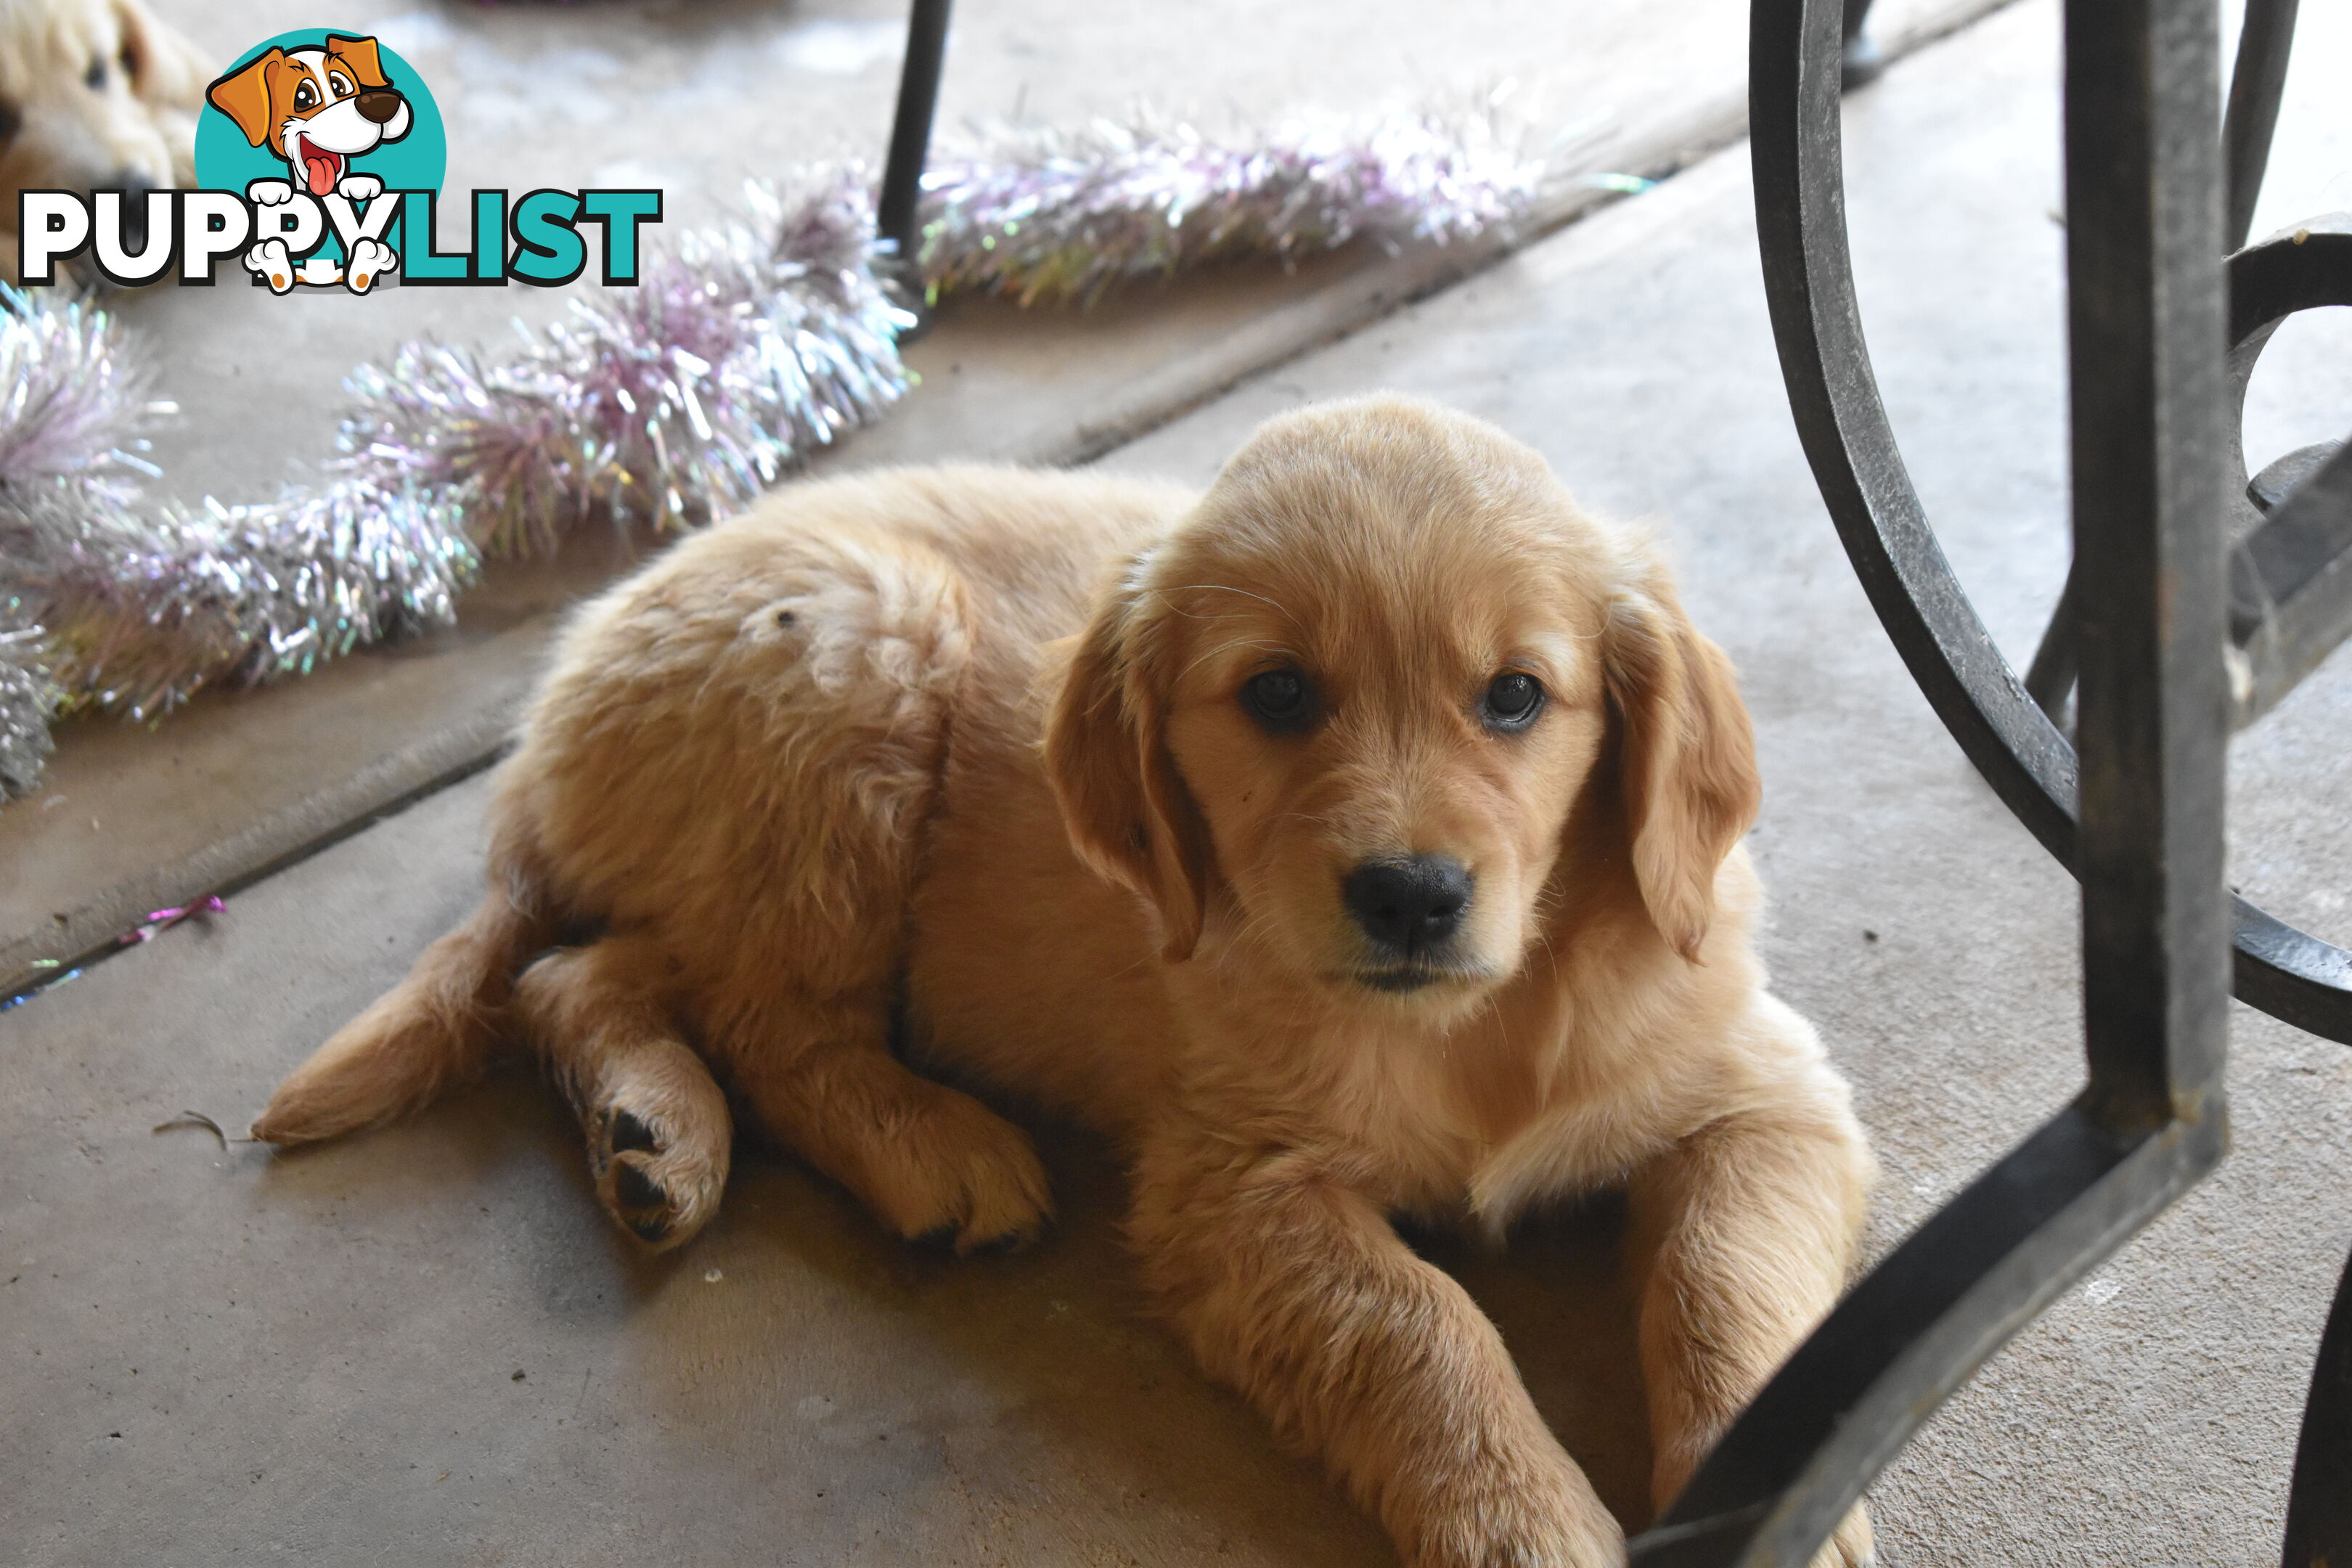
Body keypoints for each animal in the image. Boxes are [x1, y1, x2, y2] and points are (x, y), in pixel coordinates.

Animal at [253, 399, 1872, 1568]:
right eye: (1279, 694)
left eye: (1518, 696)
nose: (1411, 896)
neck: (1473, 1024)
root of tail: (554, 699)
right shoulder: (1234, 1189)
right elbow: (1426, 1334)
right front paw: (1529, 1523)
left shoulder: (1764, 1096)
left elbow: (1726, 1284)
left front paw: (1787, 1476)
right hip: (863, 656)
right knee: (763, 1023)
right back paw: (917, 1148)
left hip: (717, 847)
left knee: (580, 975)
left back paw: (655, 1136)